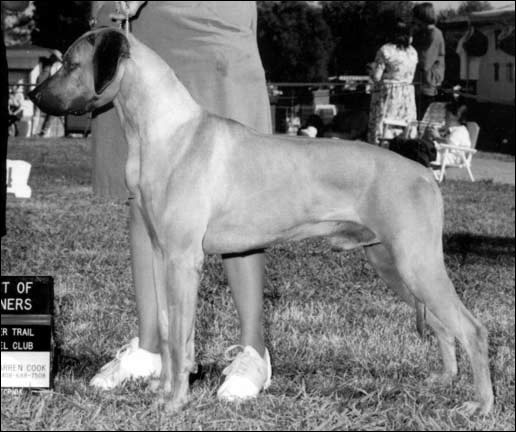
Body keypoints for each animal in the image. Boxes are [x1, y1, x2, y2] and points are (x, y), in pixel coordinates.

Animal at [27, 28, 492, 414]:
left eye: (71, 64)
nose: (31, 95)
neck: (168, 131)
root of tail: (425, 174)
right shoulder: (163, 257)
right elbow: (170, 330)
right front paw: (163, 388)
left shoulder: (183, 261)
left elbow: (179, 334)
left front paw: (174, 401)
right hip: (392, 265)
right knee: (442, 324)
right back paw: (445, 379)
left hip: (416, 263)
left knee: (472, 329)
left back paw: (480, 405)